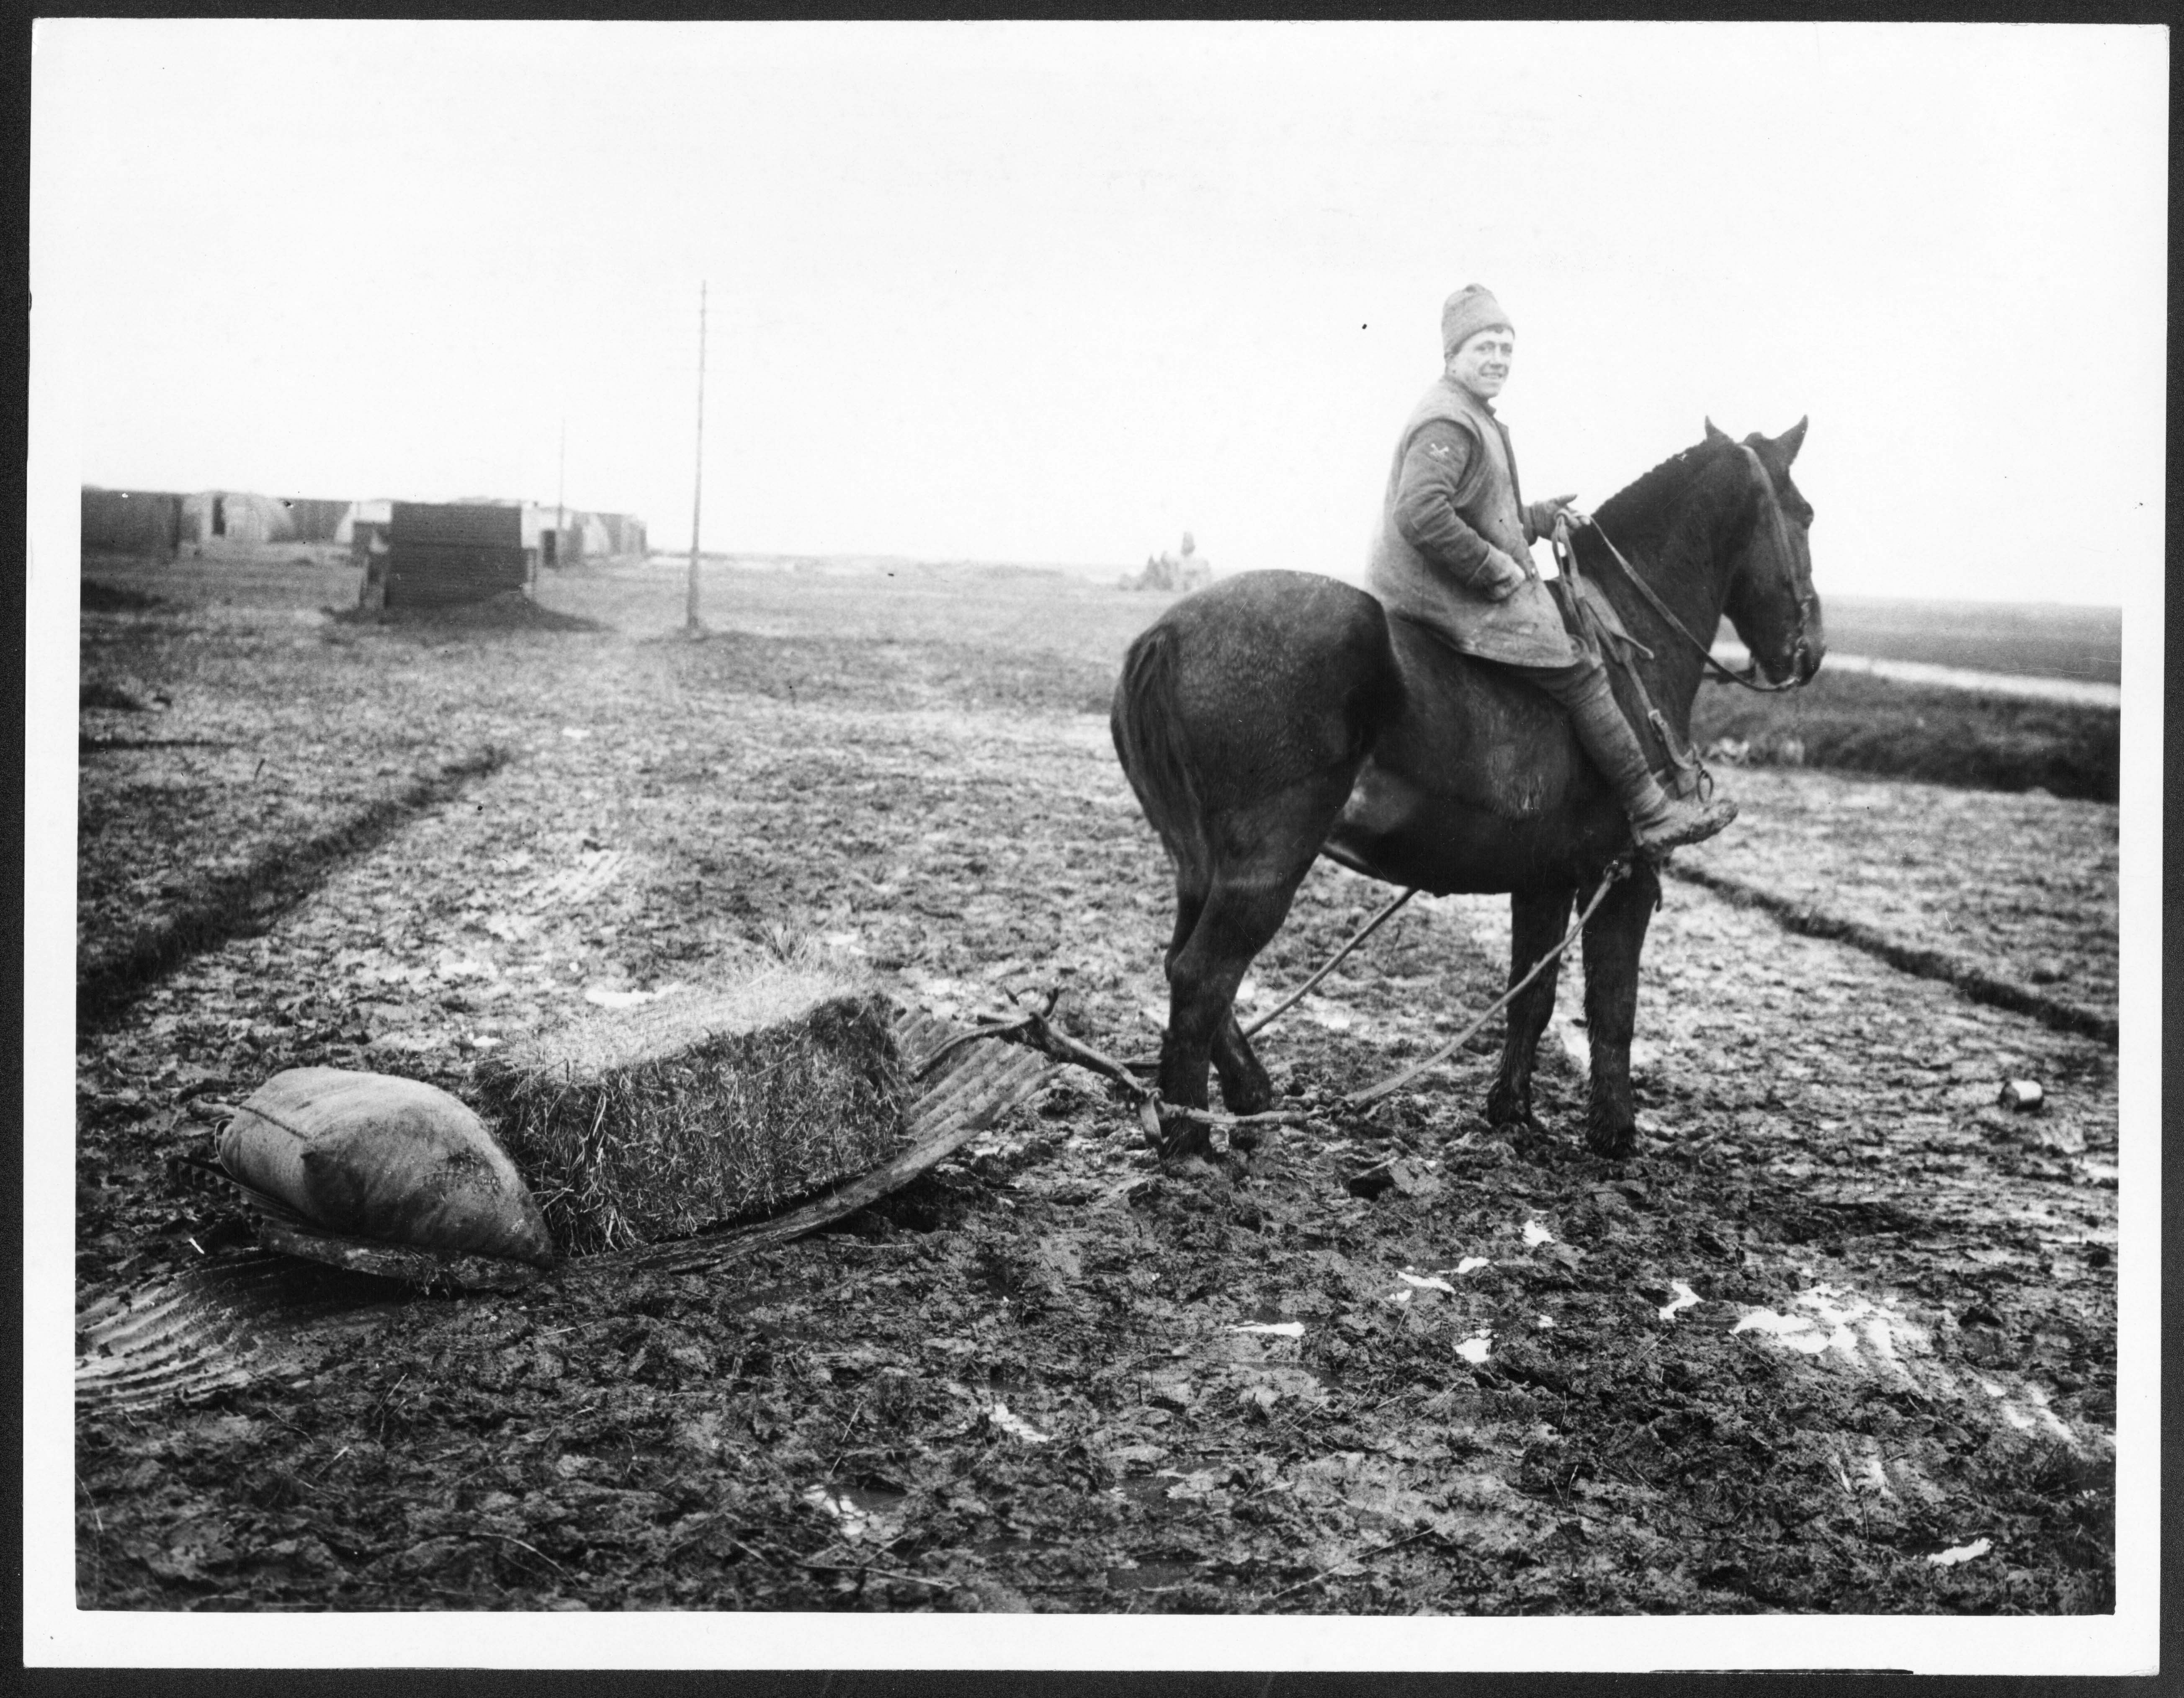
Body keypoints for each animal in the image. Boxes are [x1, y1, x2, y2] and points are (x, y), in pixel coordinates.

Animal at [1110, 418, 1821, 1158]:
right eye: (1804, 514)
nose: (1809, 653)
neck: (1630, 640)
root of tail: (1167, 633)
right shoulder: (1625, 874)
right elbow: (1614, 1005)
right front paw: (1615, 1132)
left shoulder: (1546, 879)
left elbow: (1532, 996)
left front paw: (1511, 1109)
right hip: (1266, 865)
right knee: (1203, 978)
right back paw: (1191, 1137)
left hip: (1200, 866)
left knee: (1182, 967)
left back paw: (1243, 1098)